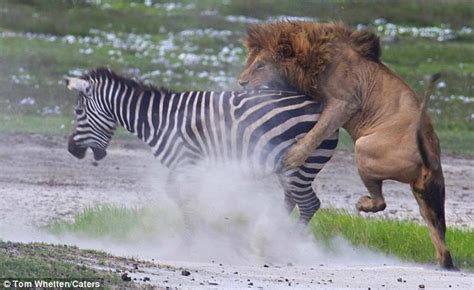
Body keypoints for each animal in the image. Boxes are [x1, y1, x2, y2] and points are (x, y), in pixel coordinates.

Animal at [65, 68, 336, 224]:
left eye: (78, 112)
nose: (71, 150)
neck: (159, 119)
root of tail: (321, 107)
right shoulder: (187, 166)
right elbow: (181, 196)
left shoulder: (186, 161)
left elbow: (182, 197)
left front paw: (193, 238)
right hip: (289, 169)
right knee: (292, 201)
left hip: (302, 167)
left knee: (309, 204)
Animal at [241, 22, 456, 270]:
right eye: (249, 61)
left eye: (260, 65)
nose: (241, 82)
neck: (313, 58)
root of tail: (429, 157)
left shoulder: (344, 103)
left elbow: (319, 130)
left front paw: (294, 156)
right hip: (430, 195)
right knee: (438, 231)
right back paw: (442, 261)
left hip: (363, 147)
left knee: (381, 202)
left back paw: (363, 204)